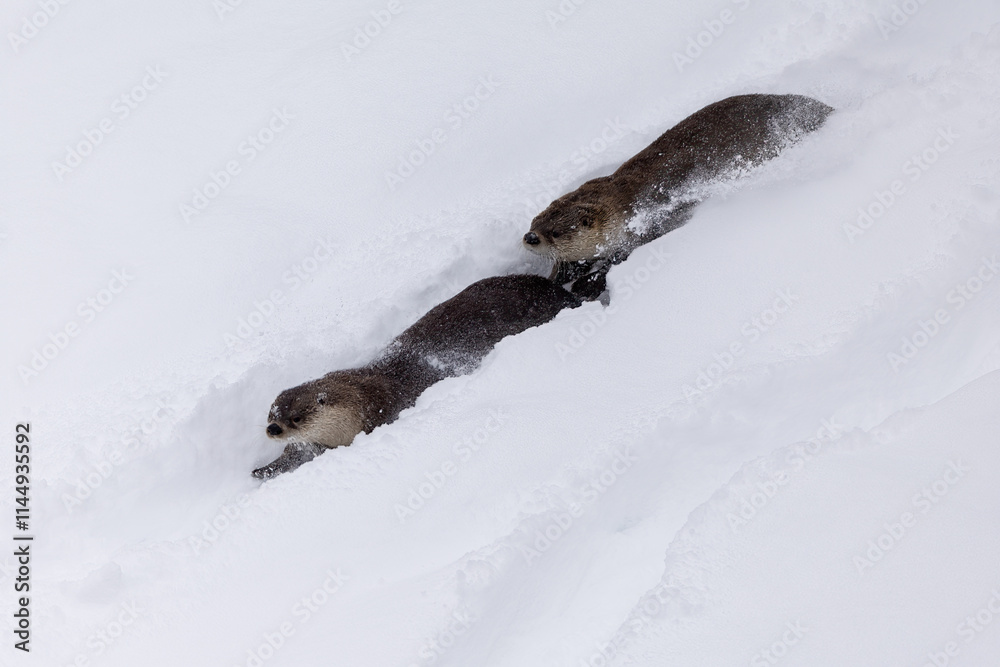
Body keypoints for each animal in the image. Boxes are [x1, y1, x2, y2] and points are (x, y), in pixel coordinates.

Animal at [252, 274, 581, 479]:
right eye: (271, 414)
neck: (361, 402)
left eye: (296, 418)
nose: (273, 429)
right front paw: (264, 470)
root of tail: (558, 292)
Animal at [523, 94, 833, 296]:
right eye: (534, 222)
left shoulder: (649, 223)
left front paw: (588, 282)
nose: (529, 237)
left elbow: (621, 257)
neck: (625, 205)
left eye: (556, 232)